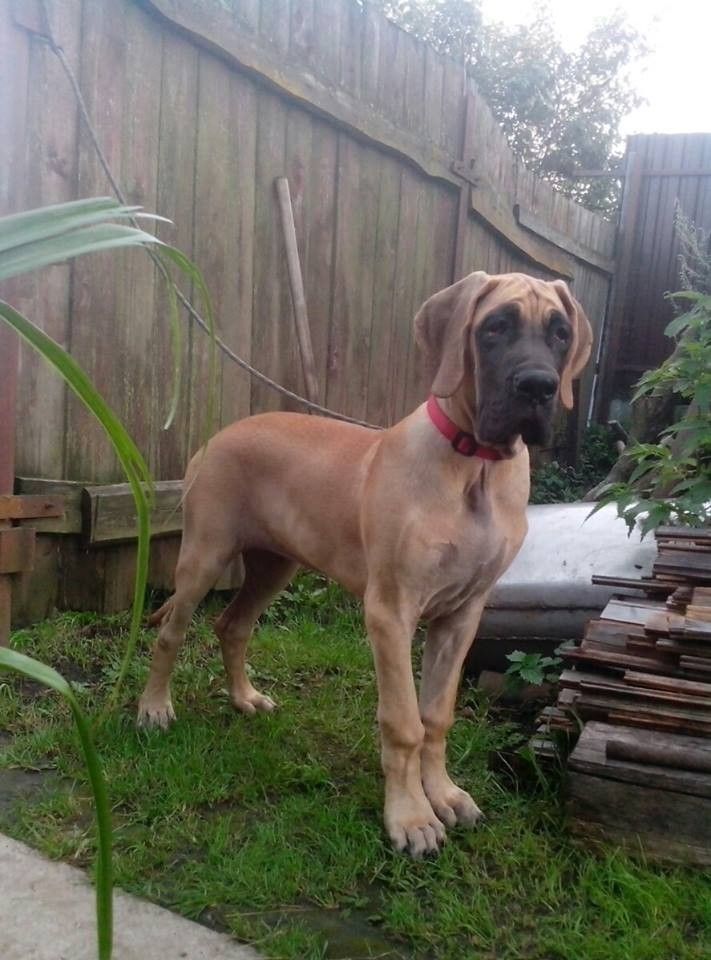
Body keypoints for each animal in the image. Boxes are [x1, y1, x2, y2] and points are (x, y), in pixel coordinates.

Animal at [138, 271, 592, 857]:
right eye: (495, 327)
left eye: (560, 333)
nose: (537, 386)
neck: (475, 466)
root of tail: (220, 433)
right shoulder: (391, 611)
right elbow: (403, 722)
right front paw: (411, 817)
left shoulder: (462, 615)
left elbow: (435, 715)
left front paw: (443, 794)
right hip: (205, 554)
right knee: (172, 632)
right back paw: (154, 708)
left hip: (274, 565)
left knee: (232, 625)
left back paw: (244, 699)